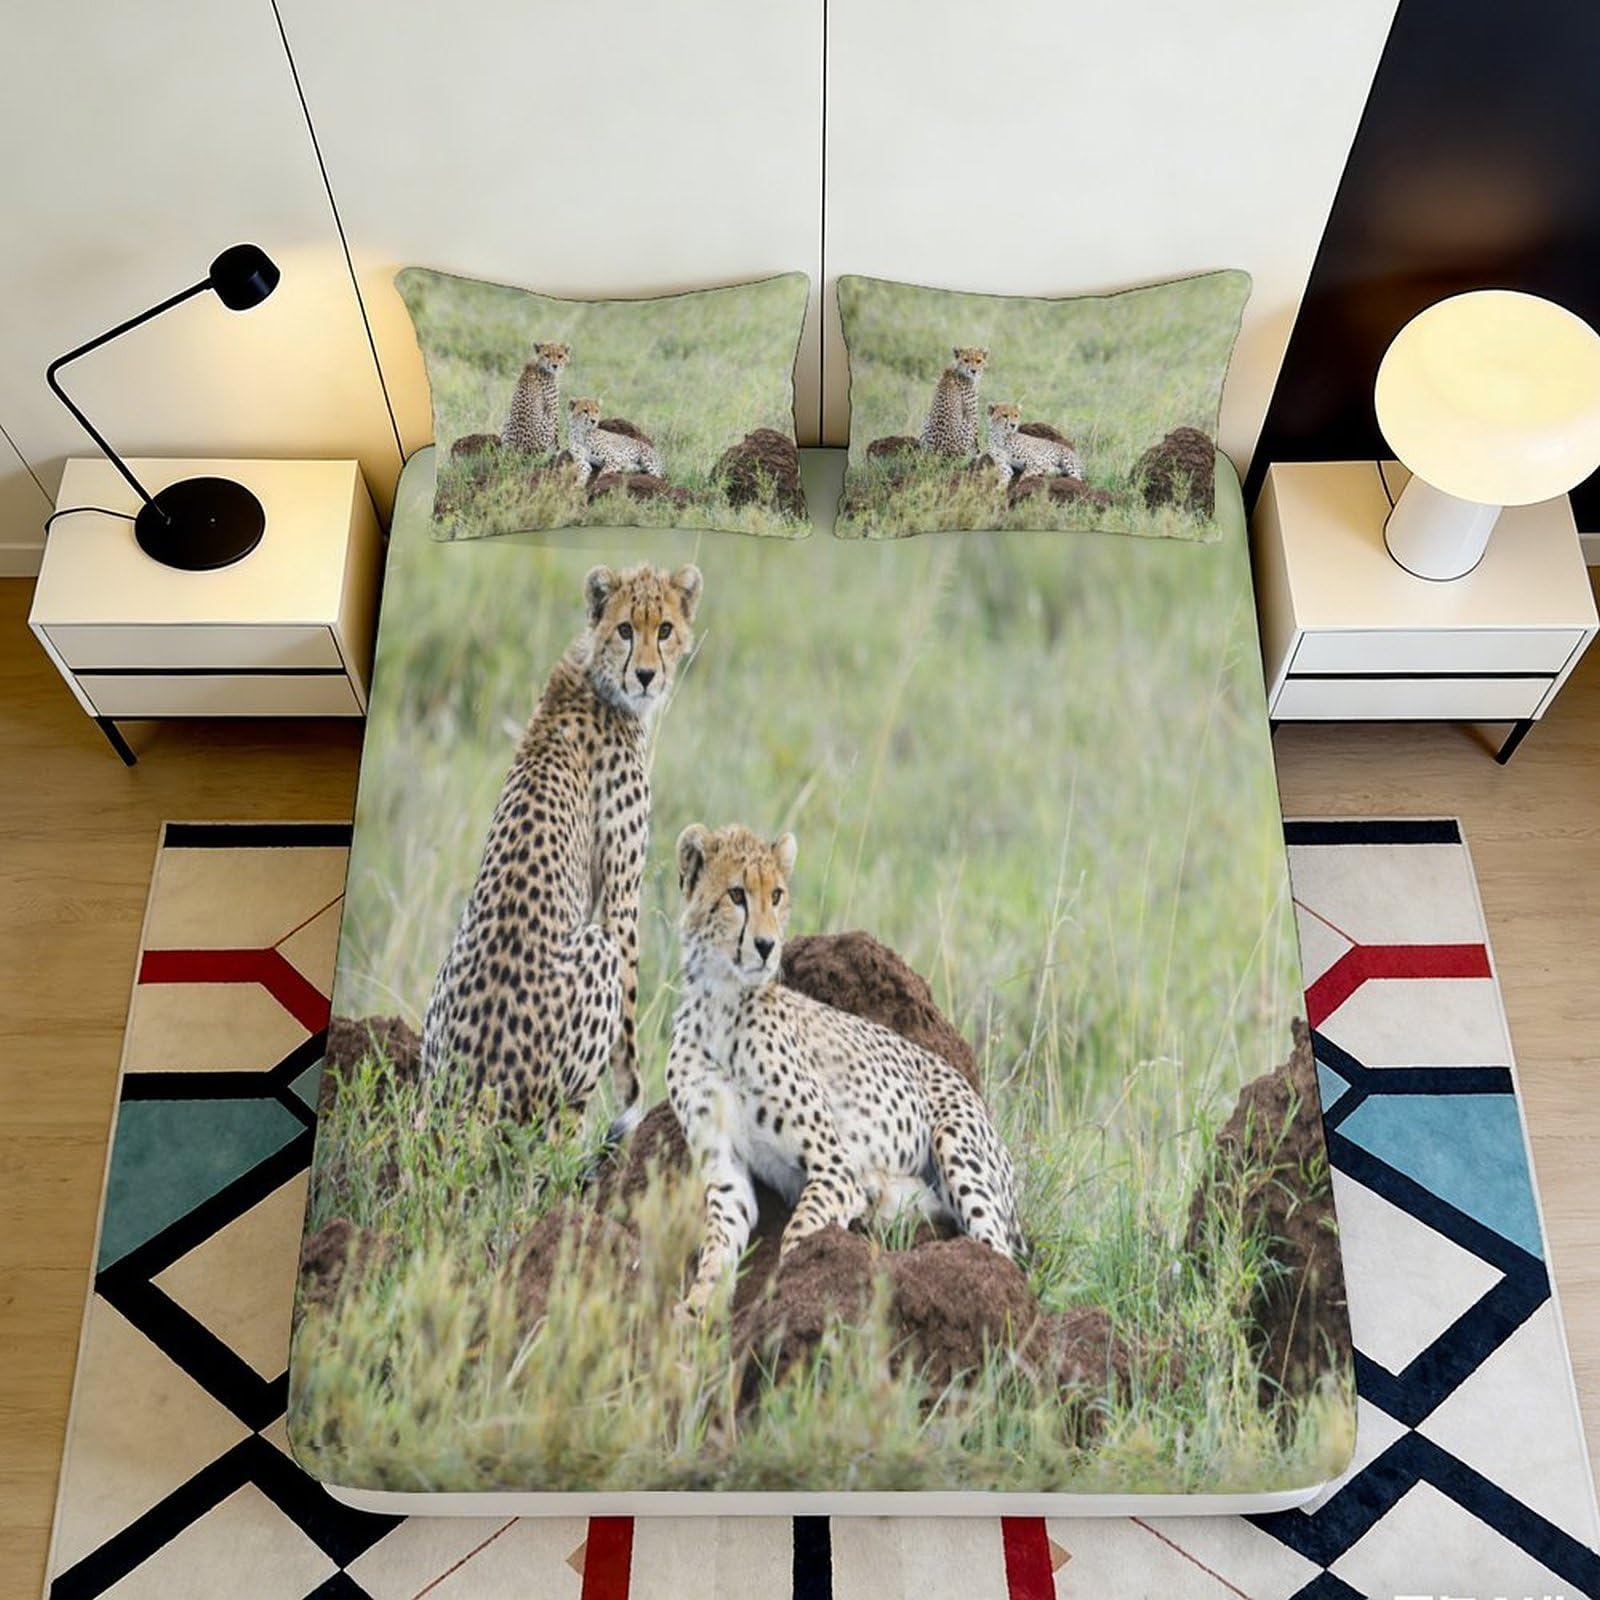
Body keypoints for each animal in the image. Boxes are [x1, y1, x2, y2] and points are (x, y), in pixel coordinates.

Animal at [420, 562, 703, 1133]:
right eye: (625, 629)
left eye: (664, 628)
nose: (646, 676)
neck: (595, 676)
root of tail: (468, 1098)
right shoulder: (621, 898)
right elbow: (631, 1006)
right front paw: (634, 1098)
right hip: (591, 956)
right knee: (553, 1124)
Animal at [666, 823, 1023, 1316]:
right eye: (736, 895)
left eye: (776, 895)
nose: (766, 946)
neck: (721, 1002)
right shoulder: (726, 1171)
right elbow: (718, 1243)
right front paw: (697, 1307)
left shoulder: (835, 1166)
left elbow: (801, 1231)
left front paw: (785, 1294)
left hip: (956, 1143)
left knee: (1000, 1255)